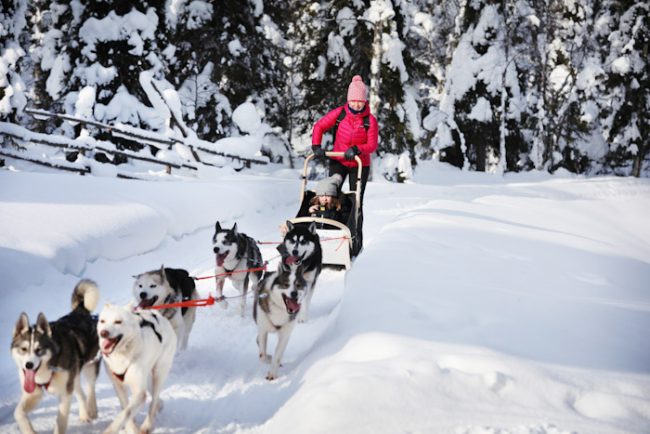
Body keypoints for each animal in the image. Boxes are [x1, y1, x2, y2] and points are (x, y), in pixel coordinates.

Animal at [10, 280, 100, 434]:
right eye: (23, 349)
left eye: (39, 350)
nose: (29, 365)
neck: (50, 366)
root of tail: (80, 311)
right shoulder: (33, 393)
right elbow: (18, 413)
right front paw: (29, 430)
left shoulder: (65, 394)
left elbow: (60, 422)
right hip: (74, 374)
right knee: (80, 393)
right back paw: (84, 414)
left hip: (90, 365)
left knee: (90, 386)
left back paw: (92, 409)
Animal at [97, 302, 176, 434]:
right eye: (102, 321)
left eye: (118, 322)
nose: (103, 332)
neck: (122, 354)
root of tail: (161, 317)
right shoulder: (118, 386)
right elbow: (125, 409)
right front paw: (131, 428)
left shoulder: (139, 392)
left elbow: (126, 412)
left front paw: (111, 430)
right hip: (147, 378)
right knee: (155, 398)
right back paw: (160, 405)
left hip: (158, 373)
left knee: (153, 401)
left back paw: (147, 425)